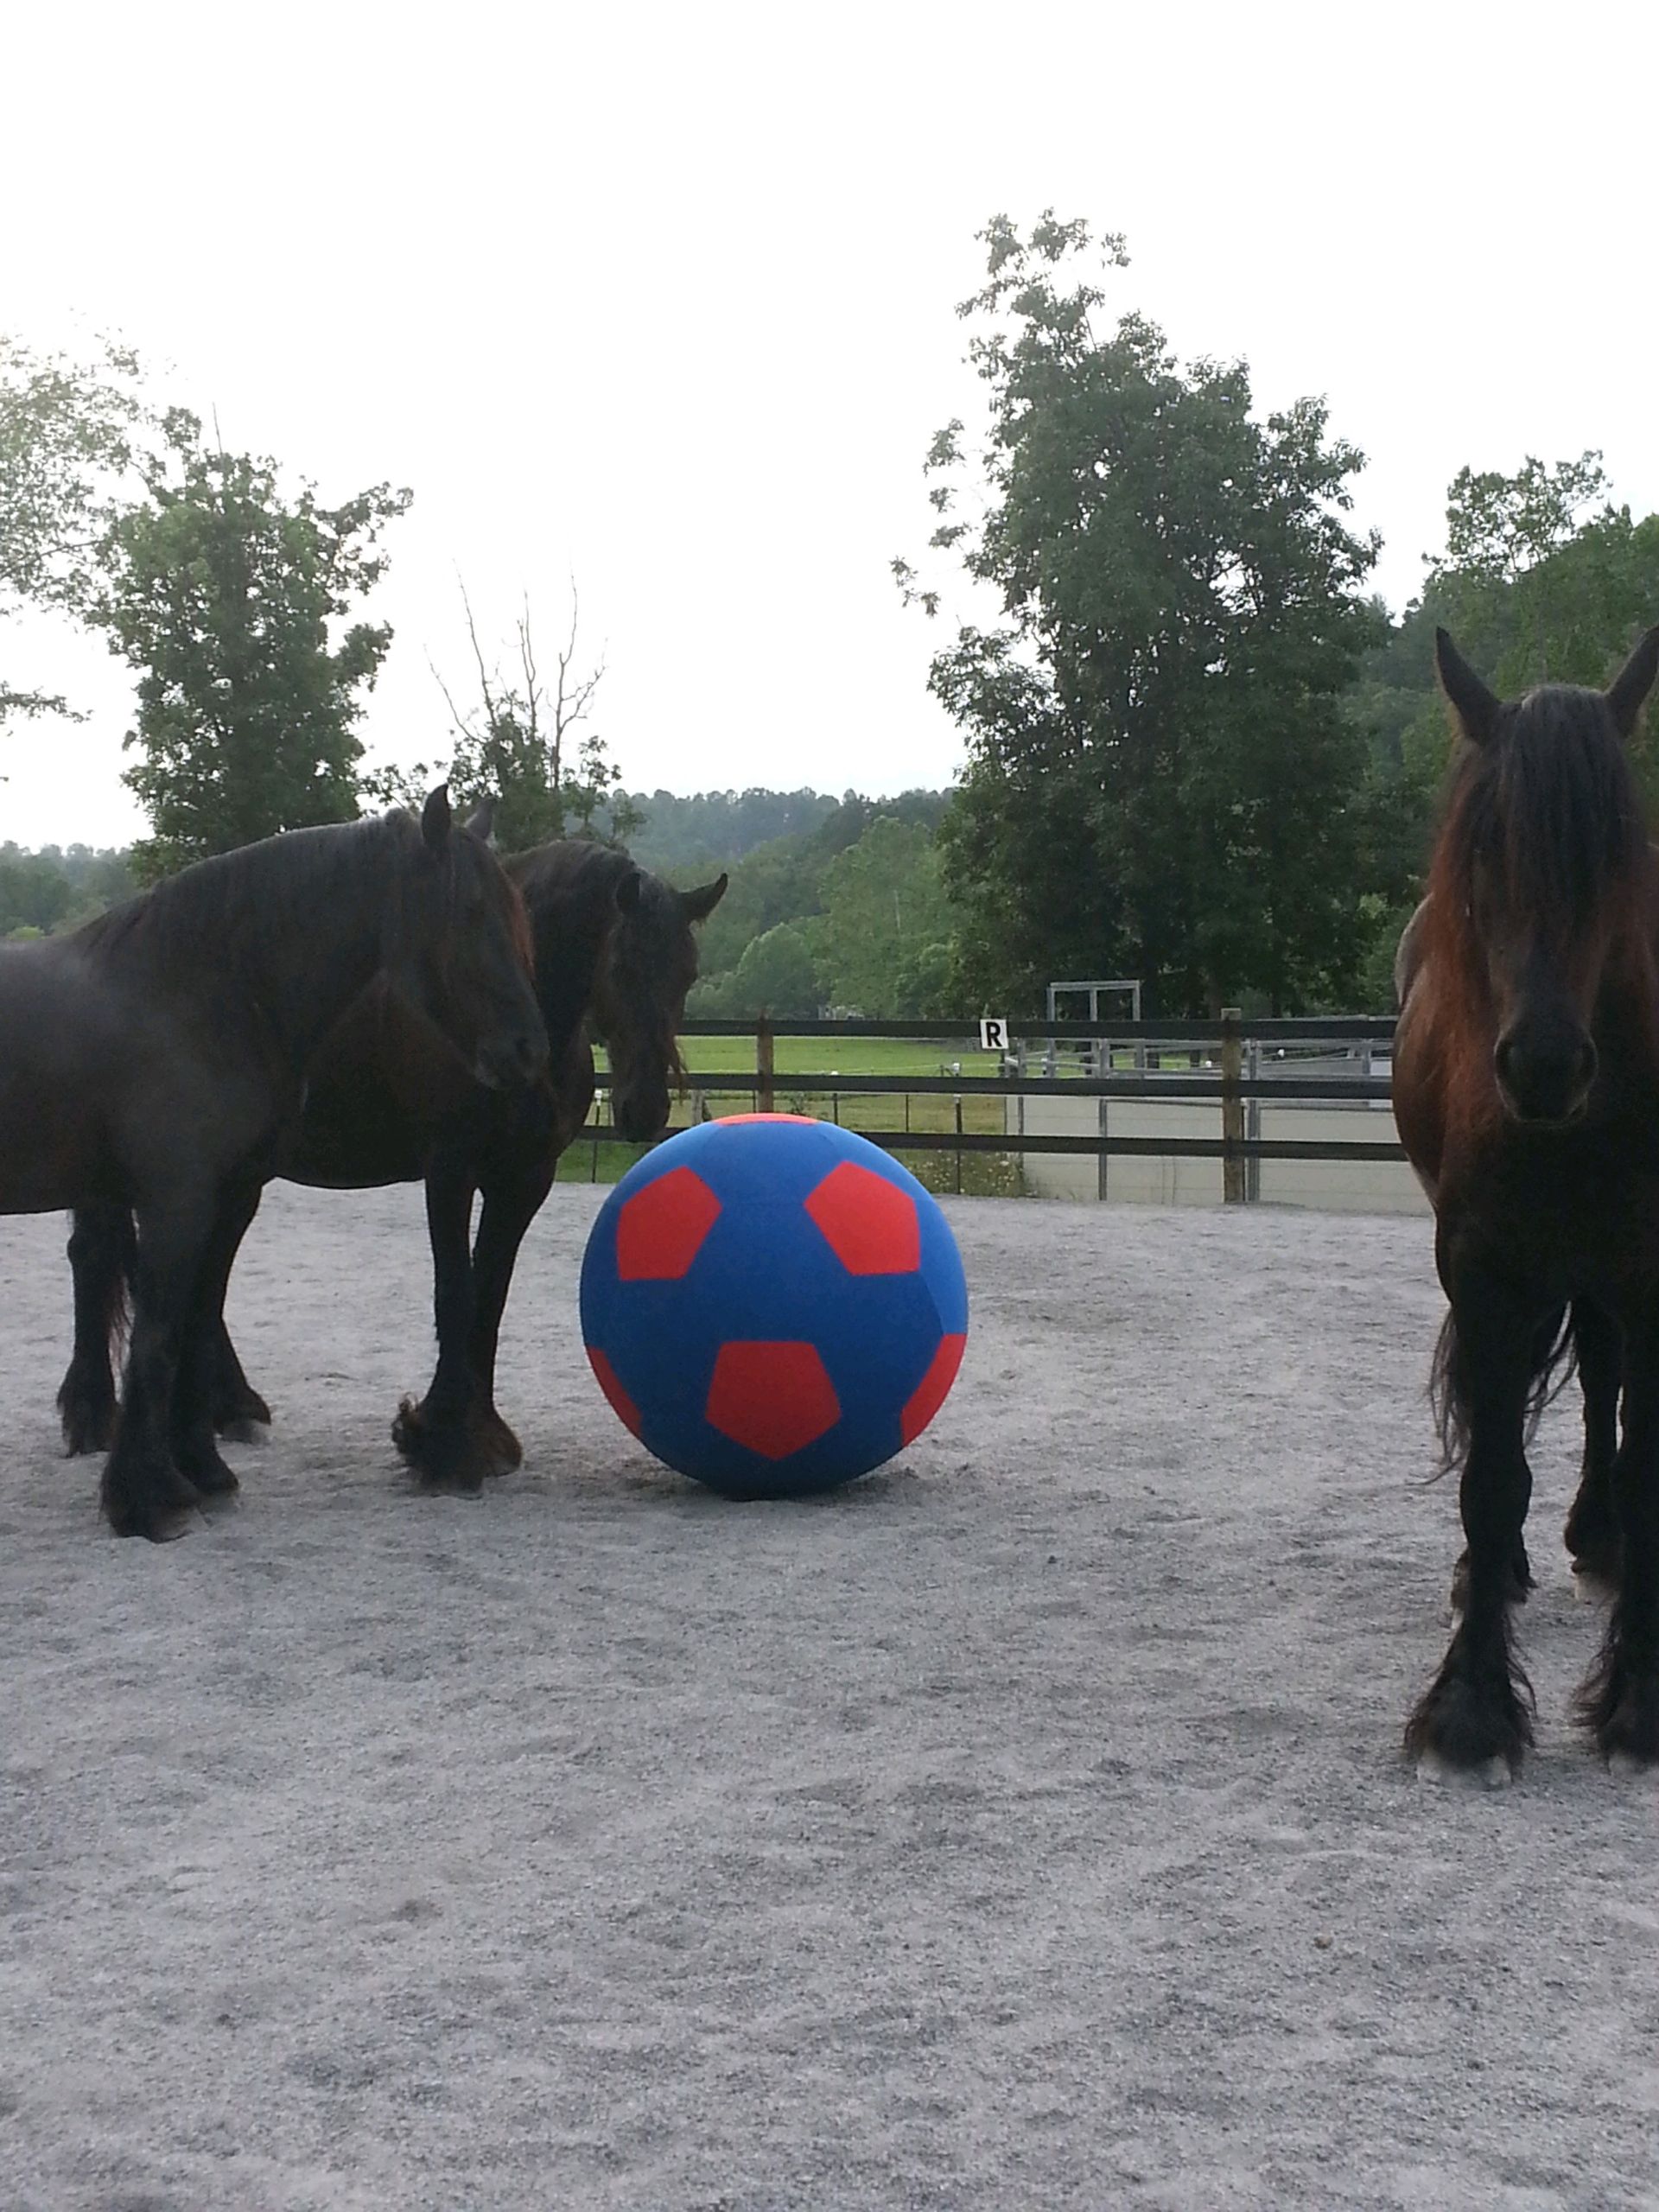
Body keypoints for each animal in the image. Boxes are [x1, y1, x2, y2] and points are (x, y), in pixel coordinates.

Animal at [0, 789, 548, 1542]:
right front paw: (147, 1499)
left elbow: (197, 1327)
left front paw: (201, 1470)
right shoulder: (178, 1202)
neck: (197, 996)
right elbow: (160, 1336)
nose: (526, 1051)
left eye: (517, 911)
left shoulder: (230, 1197)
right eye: (467, 911)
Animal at [57, 839, 727, 1492]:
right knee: (102, 1260)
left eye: (688, 973)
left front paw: (480, 1432)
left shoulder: (523, 1180)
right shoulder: (451, 1169)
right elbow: (455, 1293)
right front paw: (443, 1443)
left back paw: (227, 1407)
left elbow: (491, 1297)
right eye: (623, 966)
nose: (645, 1108)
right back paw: (97, 1414)